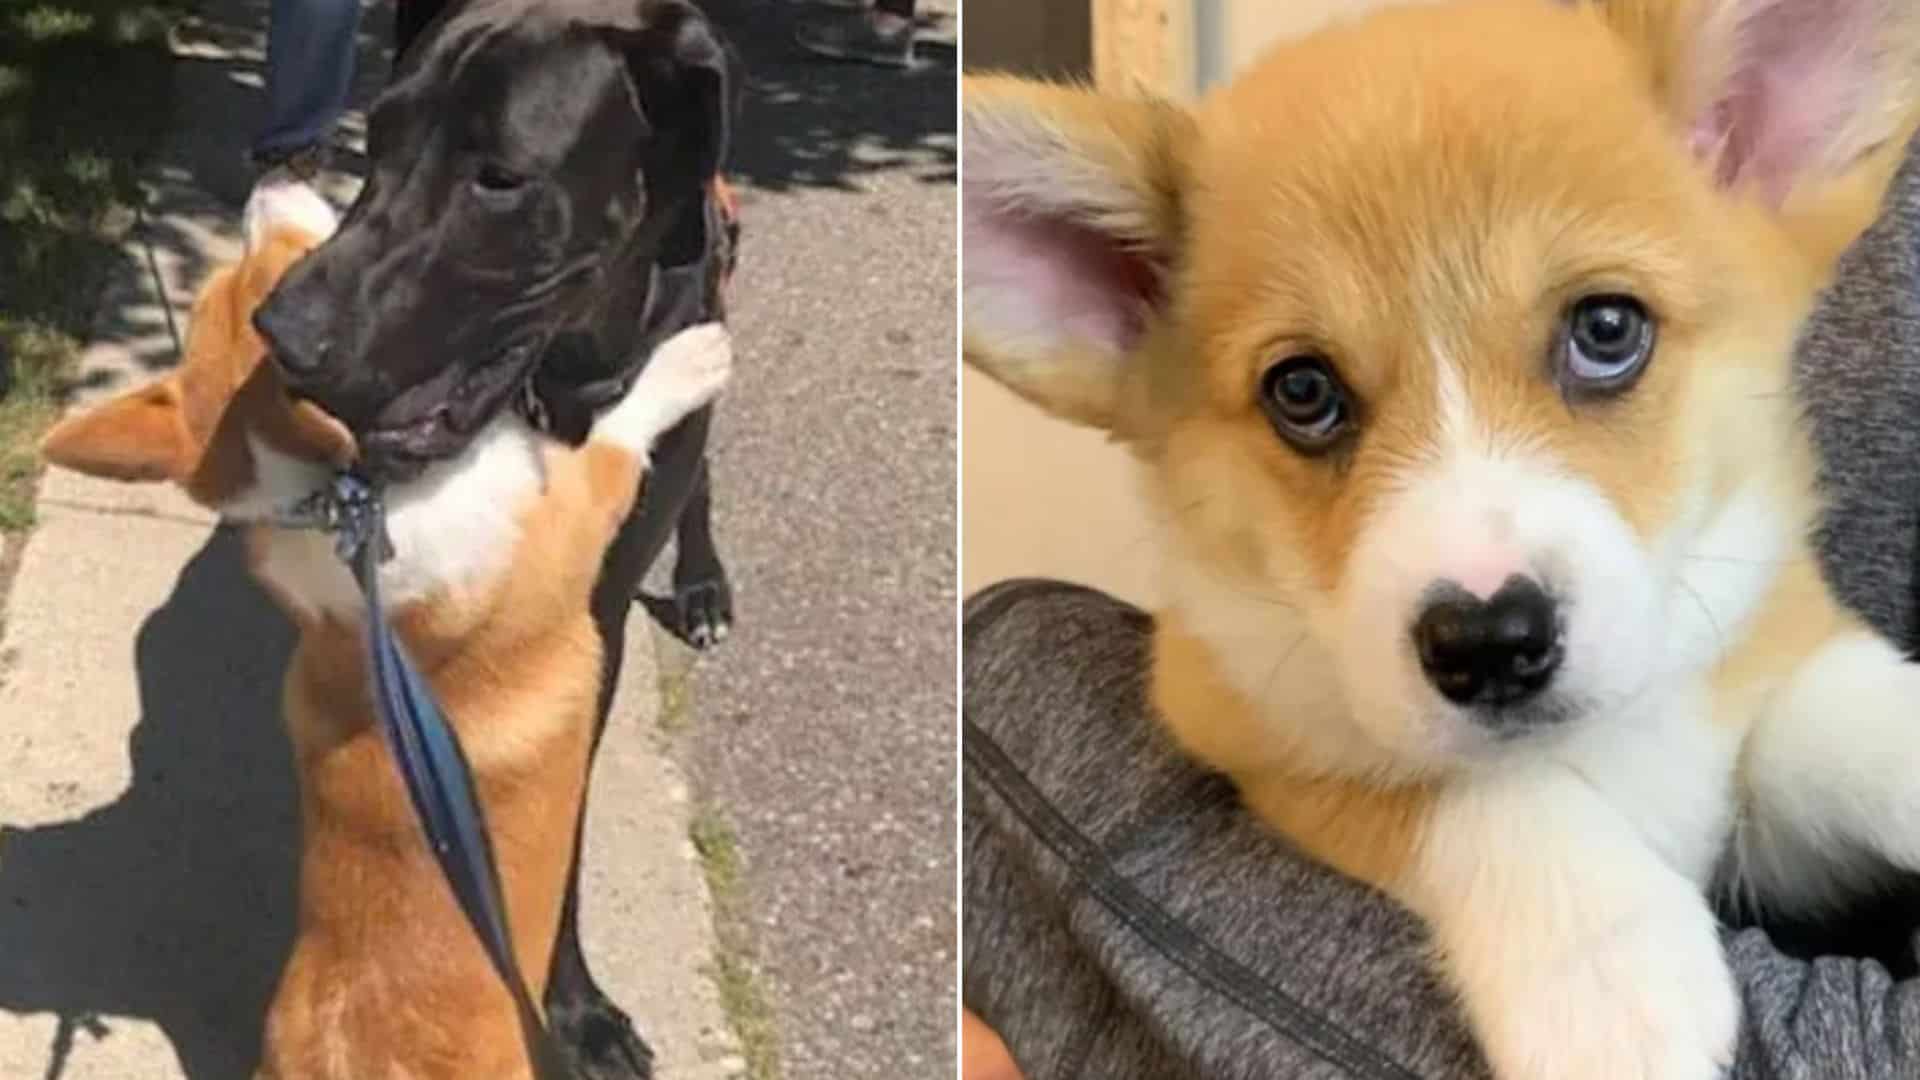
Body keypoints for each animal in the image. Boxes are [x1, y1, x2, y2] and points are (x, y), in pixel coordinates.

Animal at [46, 187, 733, 1076]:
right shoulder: (572, 512)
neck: (345, 503)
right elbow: (618, 434)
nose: (267, 179)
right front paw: (687, 360)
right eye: (291, 269)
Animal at [249, 4, 741, 1068]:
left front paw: (574, 1006)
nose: (284, 334)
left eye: (501, 179)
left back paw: (705, 584)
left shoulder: (594, 616)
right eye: (380, 139)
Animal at [967, 0, 1920, 1068]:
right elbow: (1462, 787)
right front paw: (1604, 972)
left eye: (1606, 328)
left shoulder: (1763, 748)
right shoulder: (1247, 726)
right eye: (1303, 390)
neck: (1617, 740)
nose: (1491, 643)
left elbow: (1844, 715)